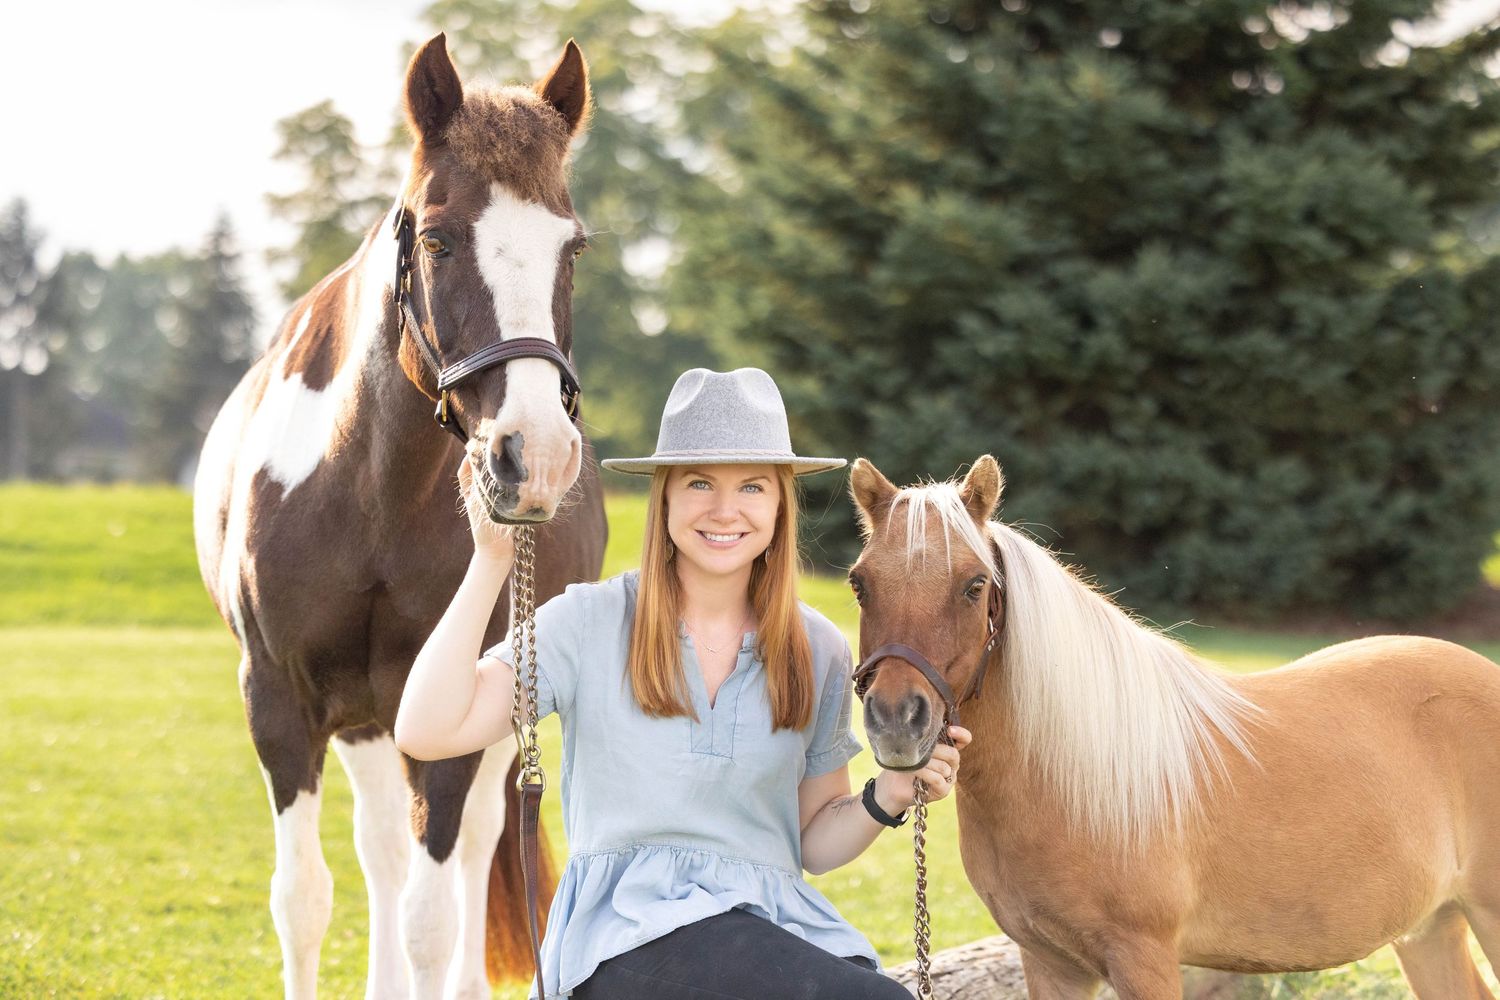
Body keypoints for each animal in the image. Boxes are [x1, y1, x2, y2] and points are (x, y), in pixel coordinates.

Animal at [192, 34, 606, 999]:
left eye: (571, 249)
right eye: (438, 238)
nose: (534, 453)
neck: (368, 493)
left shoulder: (451, 715)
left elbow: (434, 914)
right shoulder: (280, 701)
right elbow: (303, 900)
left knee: (475, 851)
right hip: (369, 718)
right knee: (381, 846)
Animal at [846, 454, 1500, 1000]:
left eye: (975, 584)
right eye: (860, 583)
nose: (897, 722)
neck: (1073, 781)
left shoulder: (1145, 960)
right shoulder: (1051, 963)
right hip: (1431, 927)